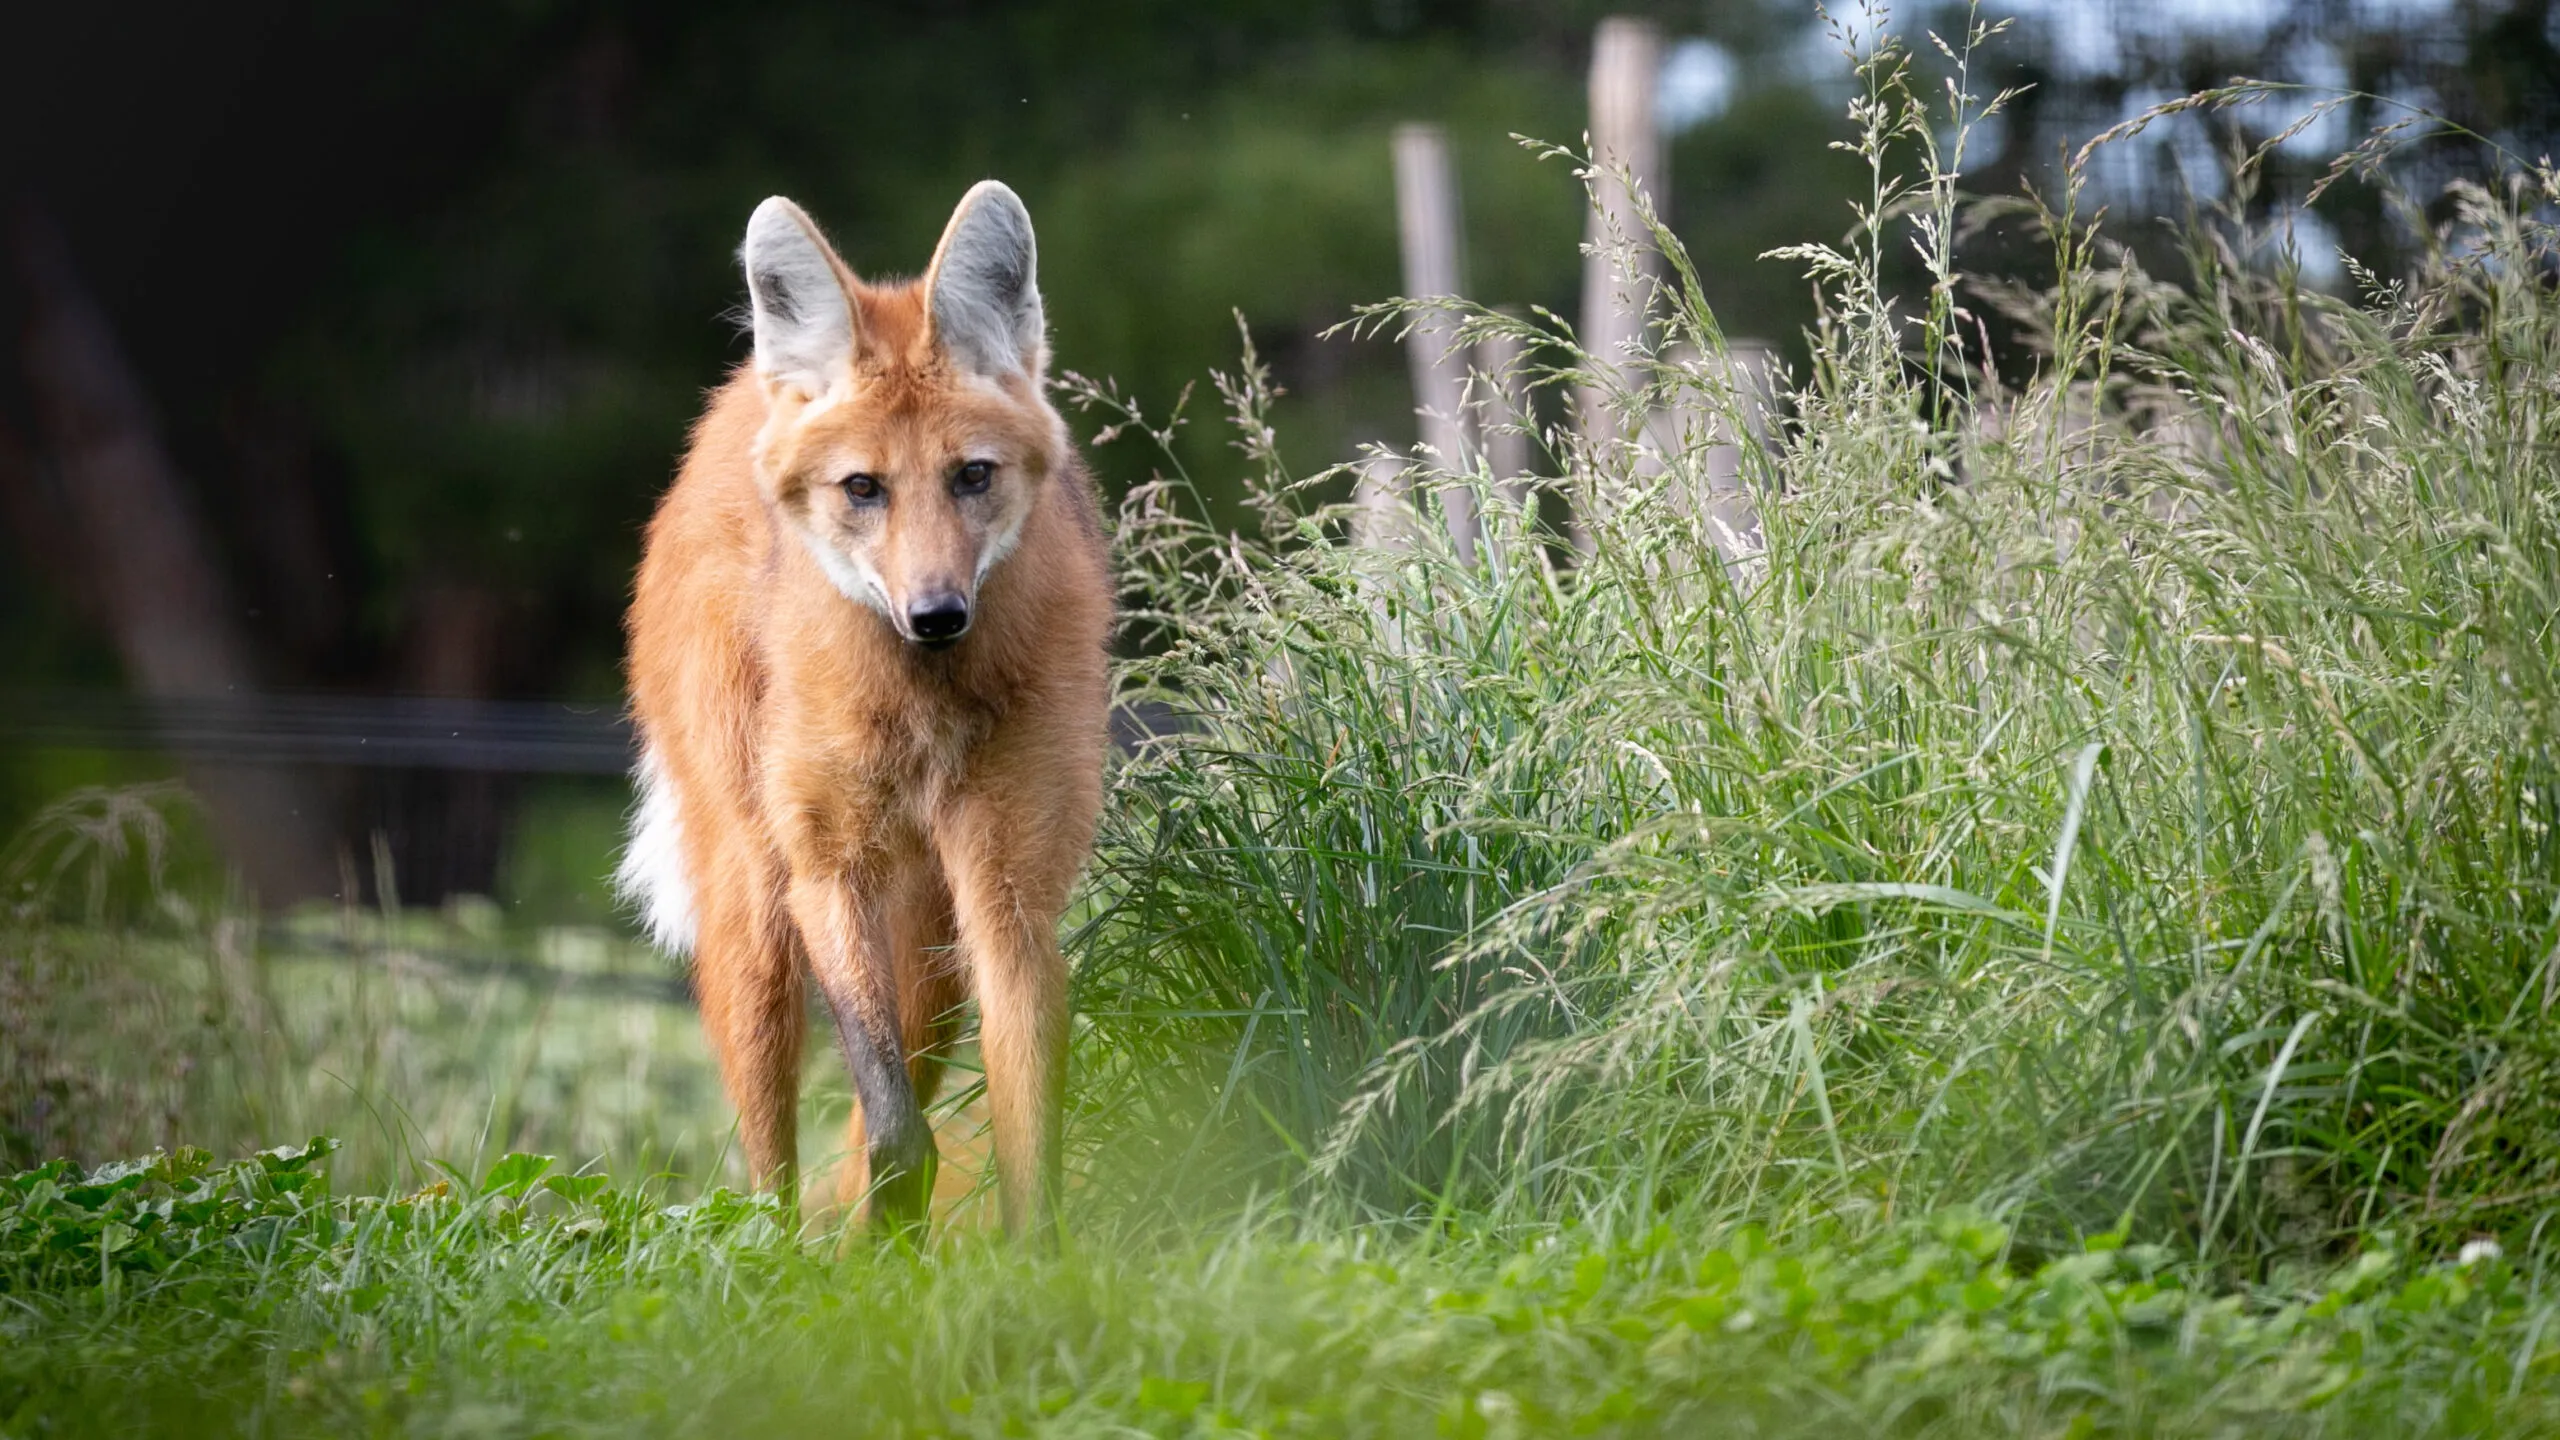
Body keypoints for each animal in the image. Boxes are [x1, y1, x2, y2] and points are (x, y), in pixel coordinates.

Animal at [618, 182, 1111, 1238]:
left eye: (972, 475)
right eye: (864, 488)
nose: (936, 615)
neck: (924, 708)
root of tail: (740, 395)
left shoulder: (1012, 894)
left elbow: (1023, 1126)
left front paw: (1034, 1259)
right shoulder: (827, 867)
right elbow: (894, 1129)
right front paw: (889, 1235)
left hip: (932, 949)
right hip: (759, 898)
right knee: (773, 1142)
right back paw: (789, 1250)